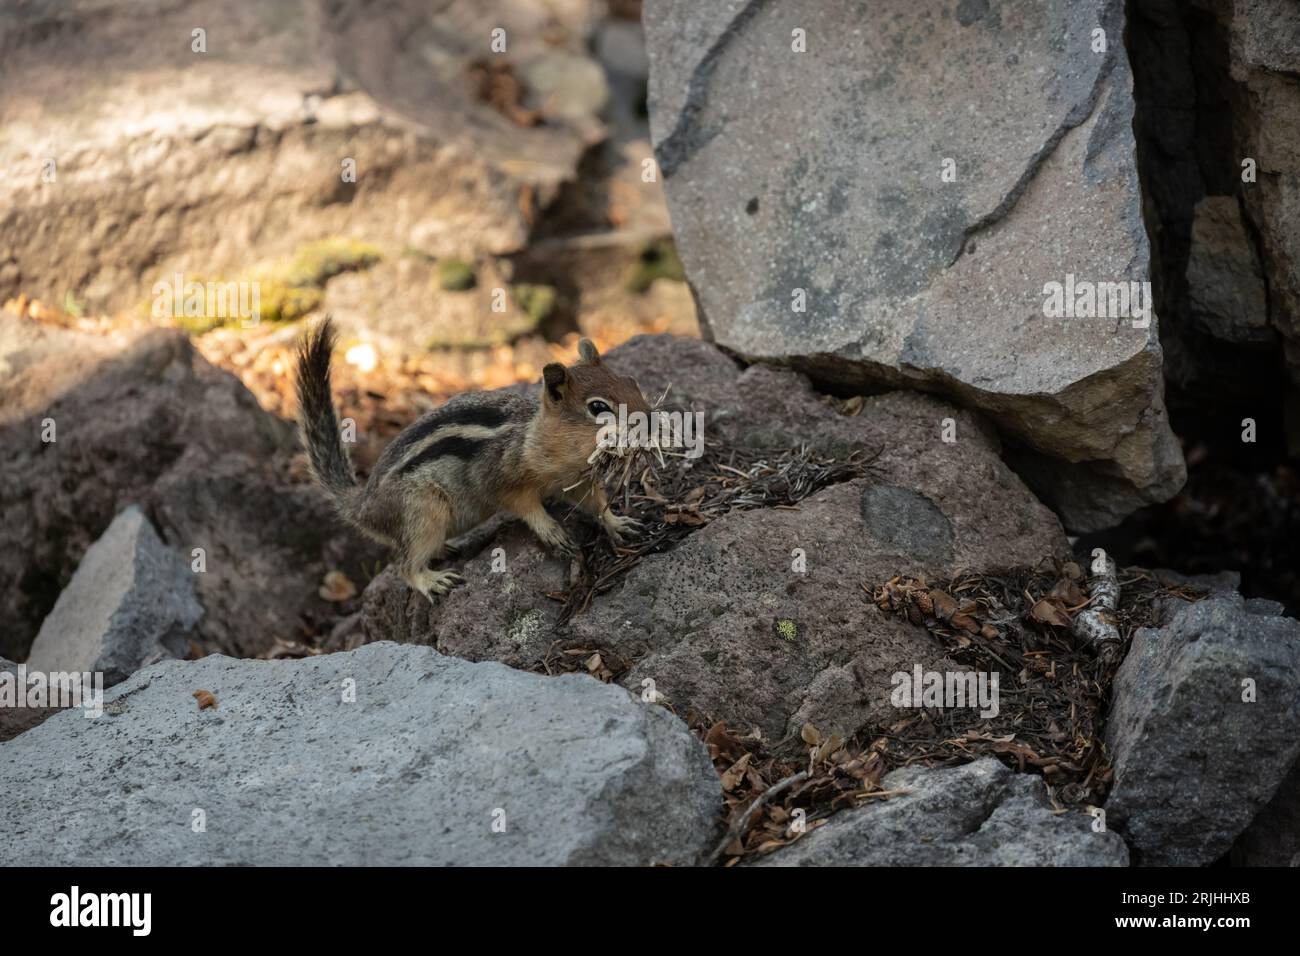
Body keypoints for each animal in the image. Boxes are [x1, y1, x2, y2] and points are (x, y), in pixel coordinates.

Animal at [295, 317, 650, 601]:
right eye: (598, 408)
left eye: (631, 382)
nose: (651, 419)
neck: (546, 441)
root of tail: (363, 505)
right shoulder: (500, 476)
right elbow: (522, 504)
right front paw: (551, 530)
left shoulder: (577, 481)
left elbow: (596, 503)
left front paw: (618, 521)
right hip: (422, 511)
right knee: (404, 564)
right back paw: (431, 580)